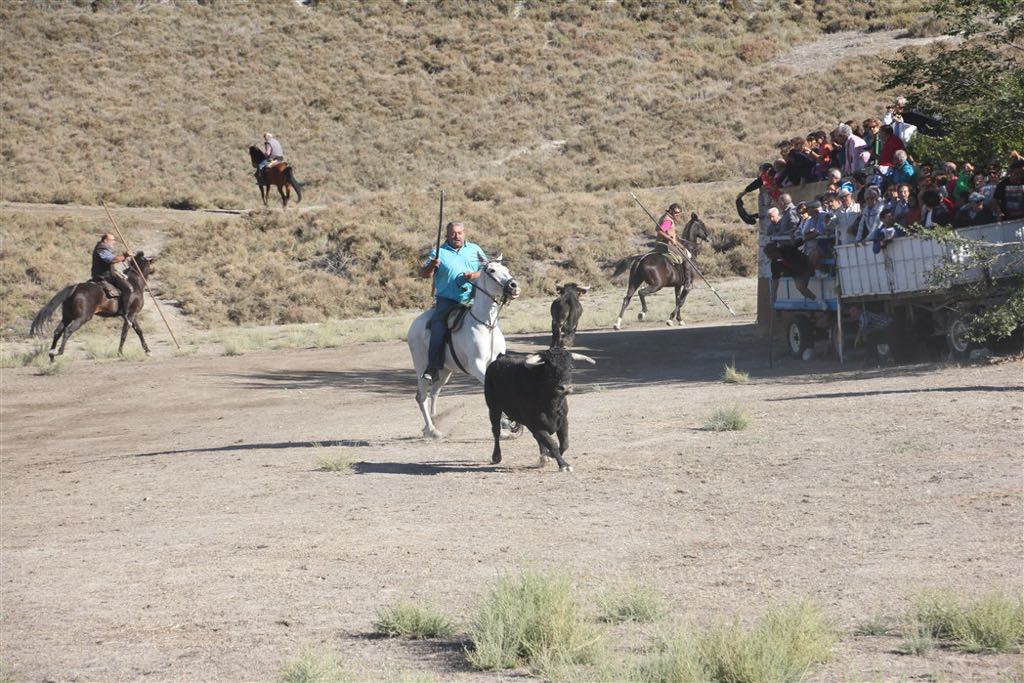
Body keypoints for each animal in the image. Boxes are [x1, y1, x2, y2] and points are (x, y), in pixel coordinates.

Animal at [407, 255, 520, 438]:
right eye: (491, 270)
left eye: (507, 270)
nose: (514, 285)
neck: (486, 325)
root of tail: (415, 324)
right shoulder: (477, 366)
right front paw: (507, 423)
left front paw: (505, 428)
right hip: (422, 367)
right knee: (422, 396)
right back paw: (432, 430)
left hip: (444, 371)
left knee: (434, 392)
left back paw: (432, 422)